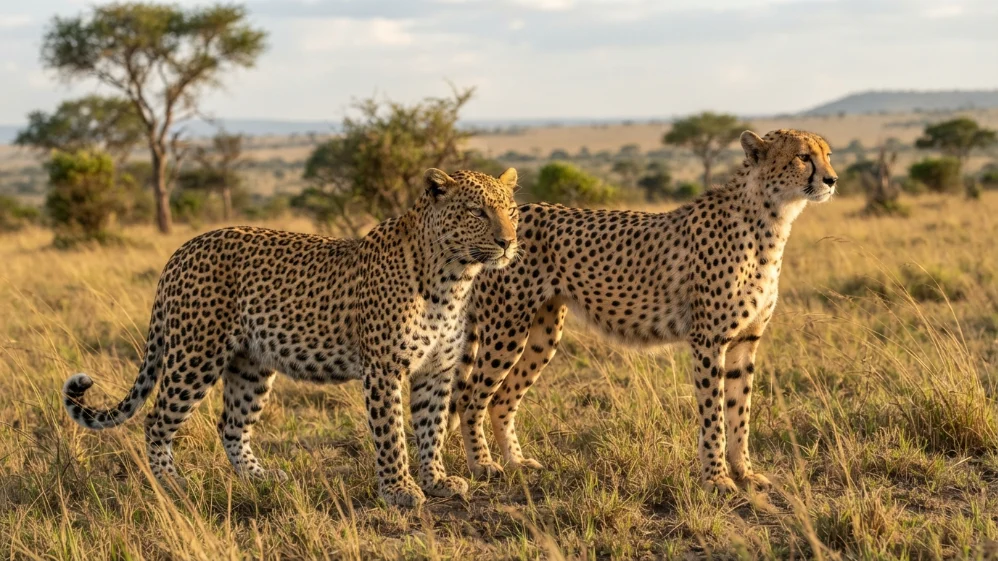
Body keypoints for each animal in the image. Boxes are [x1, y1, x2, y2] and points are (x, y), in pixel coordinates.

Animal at [63, 167, 520, 507]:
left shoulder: (437, 369)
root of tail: (180, 251)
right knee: (157, 419)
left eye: (511, 210)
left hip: (250, 365)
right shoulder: (384, 369)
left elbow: (432, 427)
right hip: (196, 355)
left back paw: (261, 479)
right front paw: (398, 490)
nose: (508, 242)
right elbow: (391, 432)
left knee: (231, 425)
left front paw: (437, 480)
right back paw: (174, 485)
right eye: (477, 212)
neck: (453, 279)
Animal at [450, 129, 837, 494]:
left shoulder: (746, 340)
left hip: (542, 333)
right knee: (470, 398)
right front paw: (716, 479)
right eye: (803, 157)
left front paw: (745, 473)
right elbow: (713, 415)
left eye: (828, 155)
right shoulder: (709, 340)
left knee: (501, 399)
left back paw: (516, 462)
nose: (832, 180)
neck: (771, 220)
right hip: (507, 327)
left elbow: (739, 412)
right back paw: (482, 466)